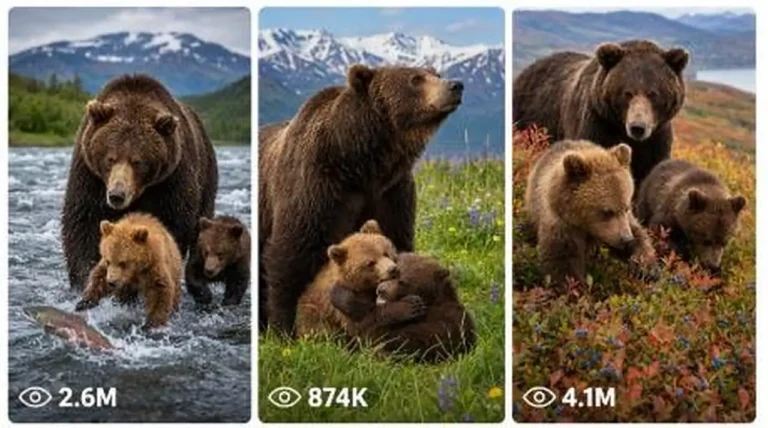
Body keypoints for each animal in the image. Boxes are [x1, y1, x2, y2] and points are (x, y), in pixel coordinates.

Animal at [61, 74, 218, 291]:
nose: (117, 195)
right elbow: (83, 224)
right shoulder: (89, 175)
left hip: (207, 175)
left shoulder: (171, 180)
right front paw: (87, 279)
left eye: (138, 161)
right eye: (110, 158)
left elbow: (171, 226)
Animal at [260, 65, 463, 336]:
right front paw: (283, 328)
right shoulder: (314, 187)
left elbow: (395, 236)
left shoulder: (391, 193)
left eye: (436, 74)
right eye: (415, 79)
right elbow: (291, 253)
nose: (455, 85)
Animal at [525, 139, 656, 285]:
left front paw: (644, 267)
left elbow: (638, 233)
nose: (626, 238)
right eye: (607, 211)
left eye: (626, 207)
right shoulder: (561, 225)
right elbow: (562, 264)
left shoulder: (624, 222)